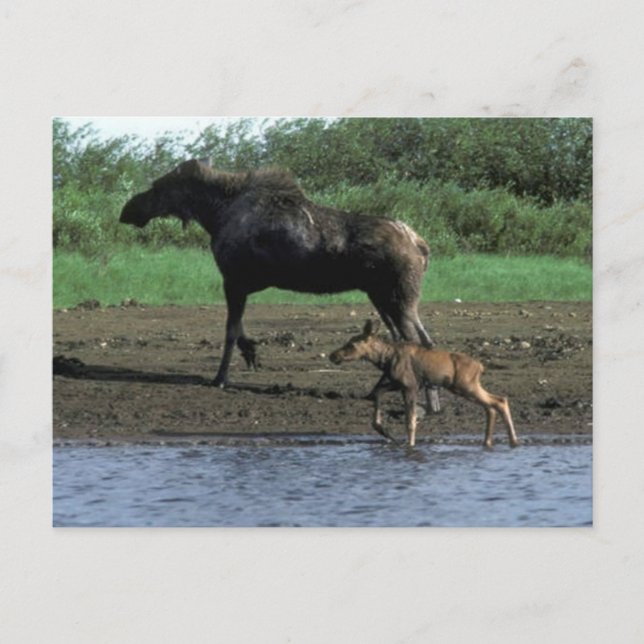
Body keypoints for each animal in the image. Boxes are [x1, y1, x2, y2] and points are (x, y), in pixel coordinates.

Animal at [329, 319, 519, 448]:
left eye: (352, 344)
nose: (333, 355)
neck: (383, 359)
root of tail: (481, 366)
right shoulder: (397, 384)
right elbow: (376, 393)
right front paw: (383, 430)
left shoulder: (410, 385)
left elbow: (410, 420)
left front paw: (410, 445)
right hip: (464, 387)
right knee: (494, 404)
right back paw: (490, 442)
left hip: (466, 386)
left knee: (497, 401)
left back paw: (512, 441)